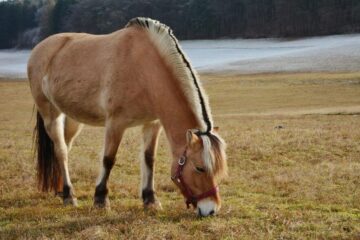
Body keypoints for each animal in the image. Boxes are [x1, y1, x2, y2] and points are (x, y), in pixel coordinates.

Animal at [27, 16, 228, 216]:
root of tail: (39, 48)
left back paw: (60, 190)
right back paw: (69, 196)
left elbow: (149, 159)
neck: (143, 69)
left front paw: (150, 199)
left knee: (64, 148)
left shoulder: (152, 123)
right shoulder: (115, 123)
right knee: (61, 151)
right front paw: (101, 200)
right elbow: (108, 159)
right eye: (199, 168)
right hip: (51, 114)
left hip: (72, 119)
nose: (211, 210)